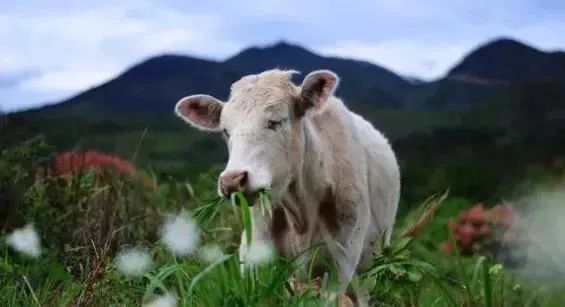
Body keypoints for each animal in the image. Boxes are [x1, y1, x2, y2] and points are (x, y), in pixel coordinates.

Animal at [174, 69, 398, 300]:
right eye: (226, 130)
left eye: (275, 122)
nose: (232, 180)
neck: (301, 212)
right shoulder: (255, 249)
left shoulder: (343, 255)